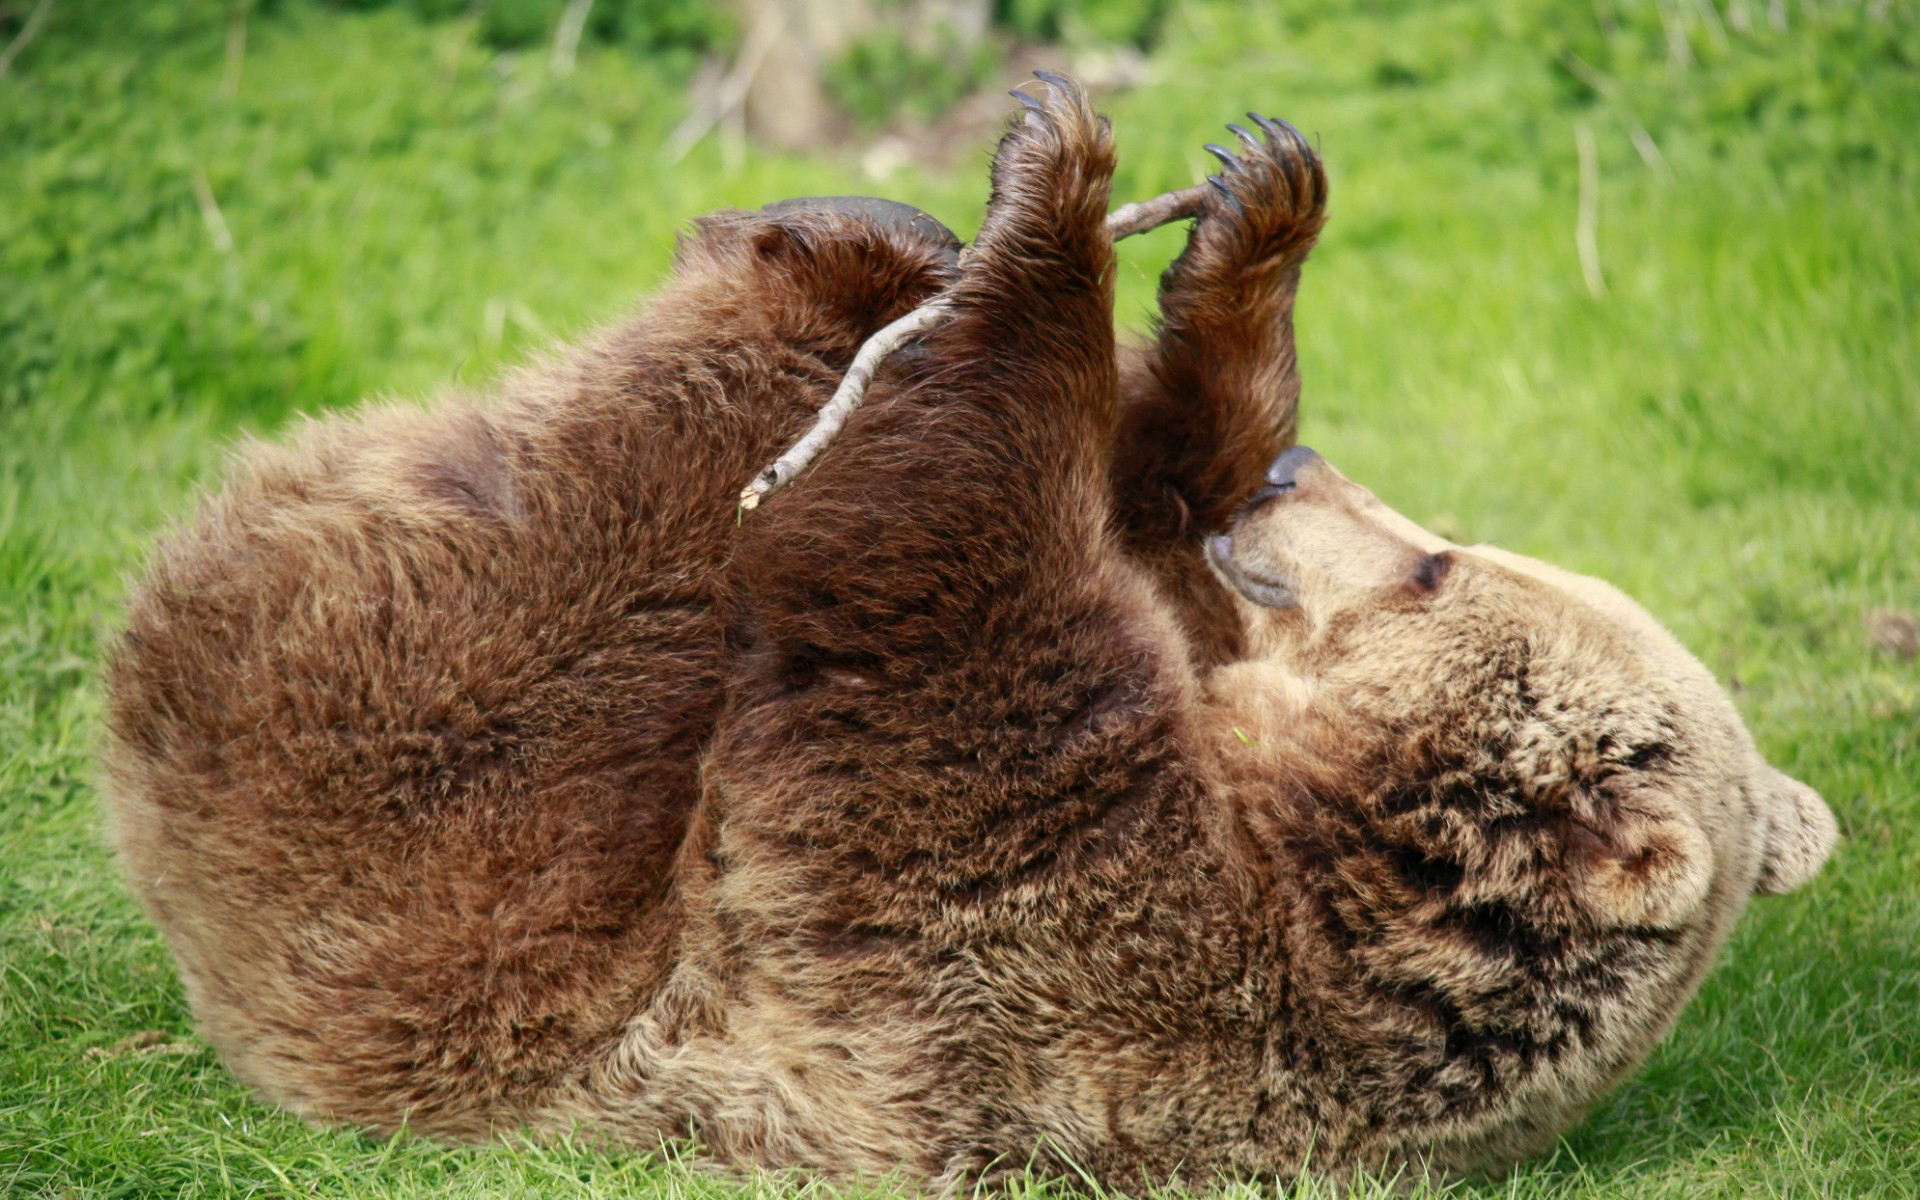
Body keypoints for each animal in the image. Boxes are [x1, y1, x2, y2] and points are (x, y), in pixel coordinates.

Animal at [101, 77, 1827, 1190]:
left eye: (1435, 567)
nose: (1295, 479)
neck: (1308, 837)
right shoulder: (1185, 691)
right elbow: (1136, 510)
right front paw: (1250, 219)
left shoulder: (1040, 928)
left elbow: (932, 574)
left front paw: (1057, 192)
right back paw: (868, 229)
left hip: (432, 838)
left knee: (614, 536)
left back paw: (826, 254)